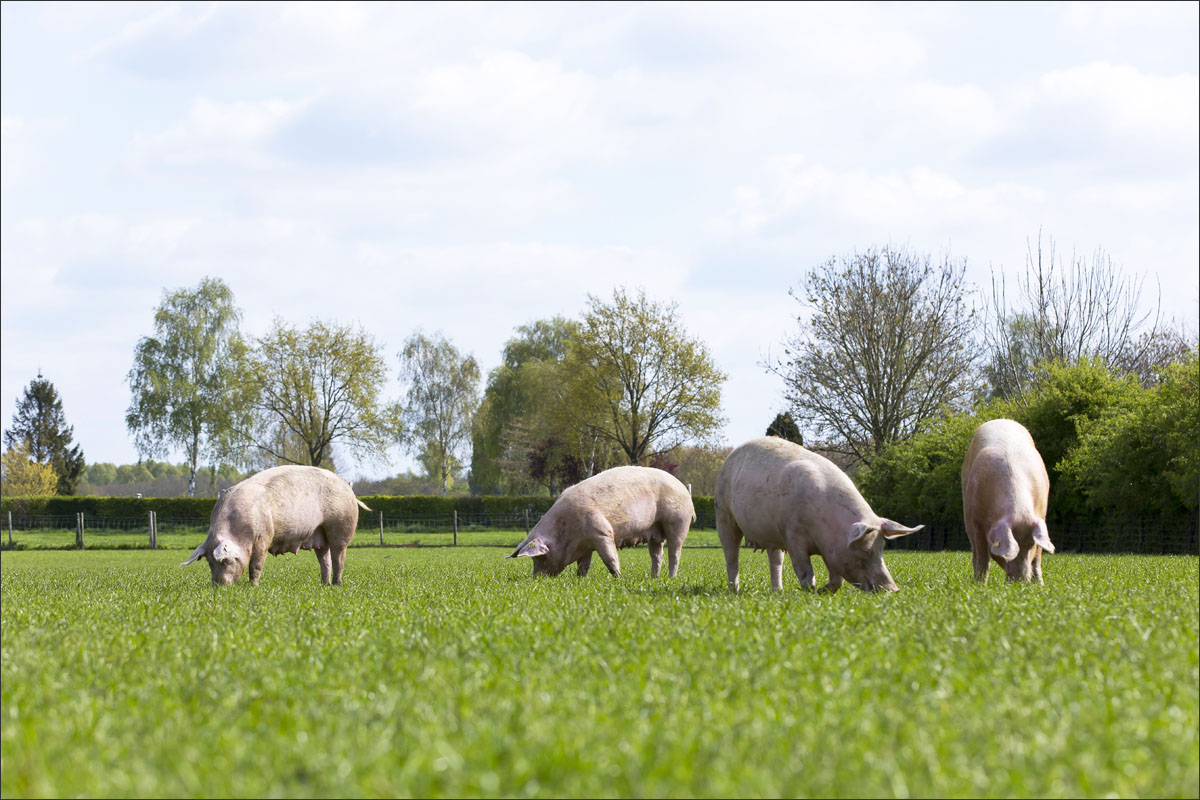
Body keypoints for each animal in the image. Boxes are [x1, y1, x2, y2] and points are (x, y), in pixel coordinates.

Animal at [181, 465, 370, 586]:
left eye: (227, 560)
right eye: (209, 562)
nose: (219, 586)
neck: (237, 531)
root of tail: (349, 490)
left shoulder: (264, 536)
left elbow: (256, 564)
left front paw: (253, 586)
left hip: (341, 525)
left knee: (339, 557)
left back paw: (337, 584)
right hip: (320, 534)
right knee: (325, 560)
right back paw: (324, 584)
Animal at [507, 466, 695, 578]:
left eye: (541, 557)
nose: (536, 578)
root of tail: (684, 489)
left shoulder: (601, 532)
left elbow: (610, 558)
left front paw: (619, 578)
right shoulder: (584, 545)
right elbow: (583, 565)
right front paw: (580, 579)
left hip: (678, 521)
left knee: (675, 552)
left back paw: (671, 577)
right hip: (655, 532)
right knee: (657, 555)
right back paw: (653, 578)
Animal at [715, 437, 922, 592]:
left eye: (881, 549)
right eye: (864, 553)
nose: (893, 589)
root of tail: (731, 455)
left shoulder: (830, 549)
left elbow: (837, 578)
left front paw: (824, 590)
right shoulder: (793, 536)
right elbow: (805, 570)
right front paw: (812, 591)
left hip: (773, 535)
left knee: (775, 561)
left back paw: (778, 592)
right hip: (723, 514)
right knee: (731, 557)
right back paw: (734, 590)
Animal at [961, 418, 1055, 583]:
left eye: (1031, 545)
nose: (1021, 581)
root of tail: (1001, 419)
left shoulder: (1041, 515)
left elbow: (1037, 558)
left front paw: (1040, 585)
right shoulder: (975, 519)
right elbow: (982, 557)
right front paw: (980, 585)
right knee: (975, 553)